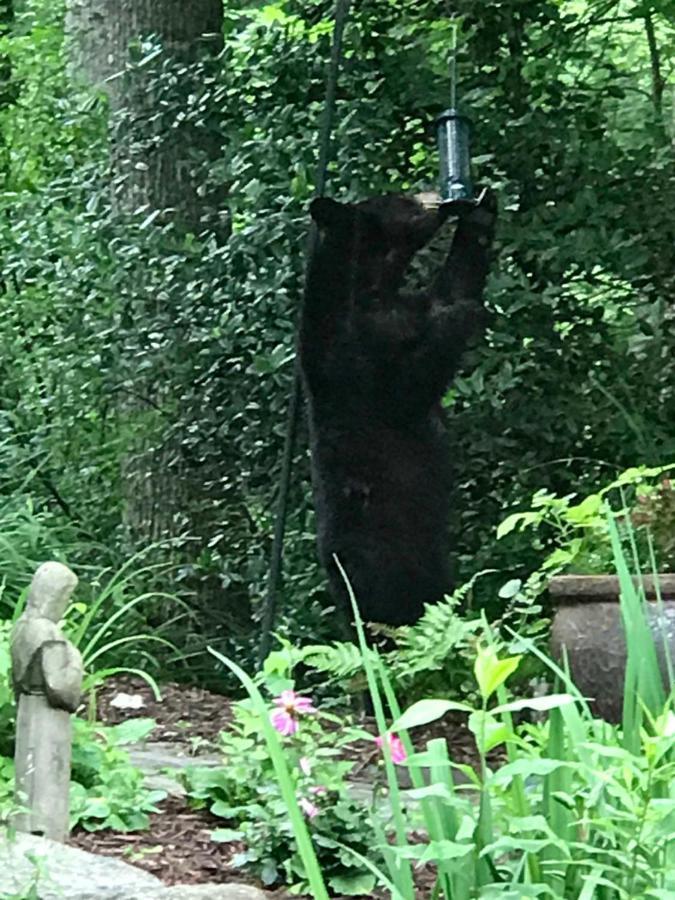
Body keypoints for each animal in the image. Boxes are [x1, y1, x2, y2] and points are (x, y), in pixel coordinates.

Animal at [302, 190, 496, 624]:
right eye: (403, 201)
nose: (436, 198)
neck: (371, 289)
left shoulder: (404, 311)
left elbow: (451, 286)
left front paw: (483, 213)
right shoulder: (355, 360)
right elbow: (408, 386)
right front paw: (462, 314)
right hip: (387, 565)